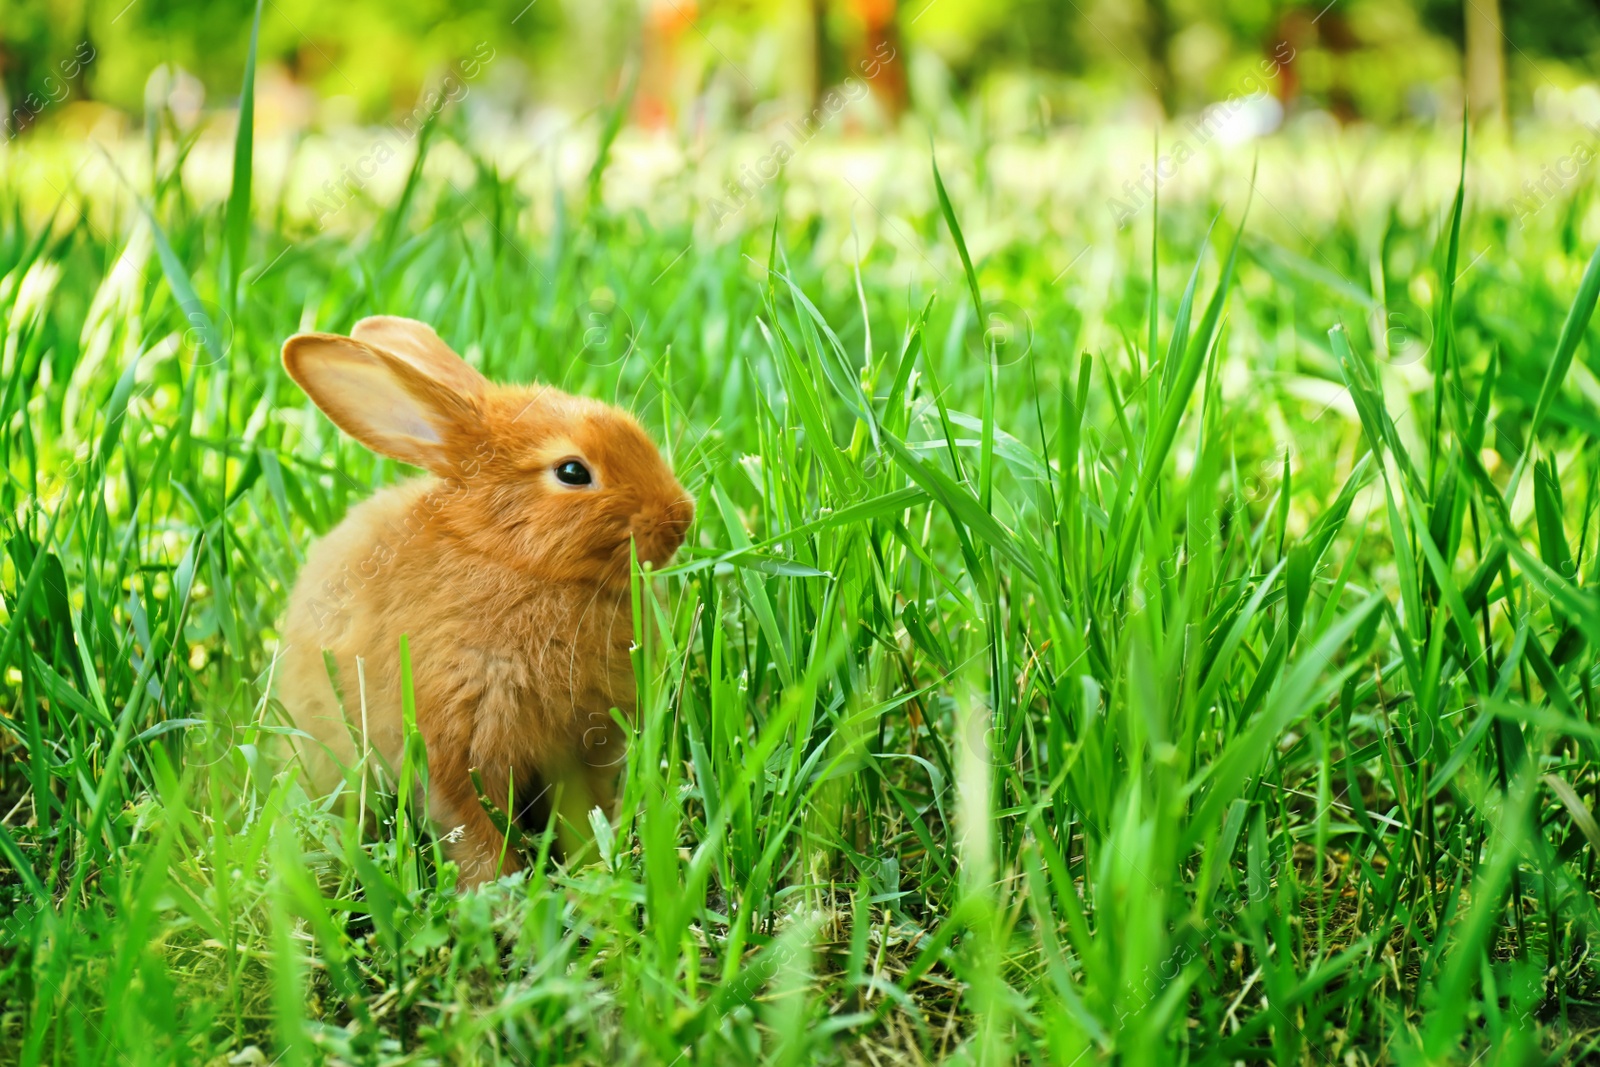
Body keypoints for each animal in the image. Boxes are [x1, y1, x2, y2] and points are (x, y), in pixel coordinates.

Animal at [273, 315, 694, 883]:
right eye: (572, 472)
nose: (680, 519)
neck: (506, 557)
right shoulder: (455, 747)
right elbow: (475, 832)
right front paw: (502, 891)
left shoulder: (579, 750)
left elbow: (580, 810)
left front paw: (588, 870)